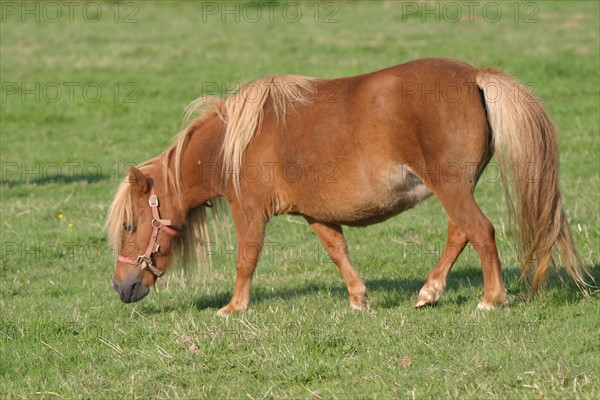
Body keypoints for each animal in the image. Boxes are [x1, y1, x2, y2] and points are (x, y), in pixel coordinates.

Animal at [106, 57, 592, 316]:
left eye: (130, 226)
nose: (121, 287)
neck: (234, 143)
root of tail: (474, 74)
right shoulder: (316, 214)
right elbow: (338, 252)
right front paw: (359, 299)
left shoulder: (250, 212)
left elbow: (247, 260)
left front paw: (234, 308)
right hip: (454, 190)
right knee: (461, 233)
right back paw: (429, 292)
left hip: (451, 187)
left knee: (480, 231)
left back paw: (491, 299)